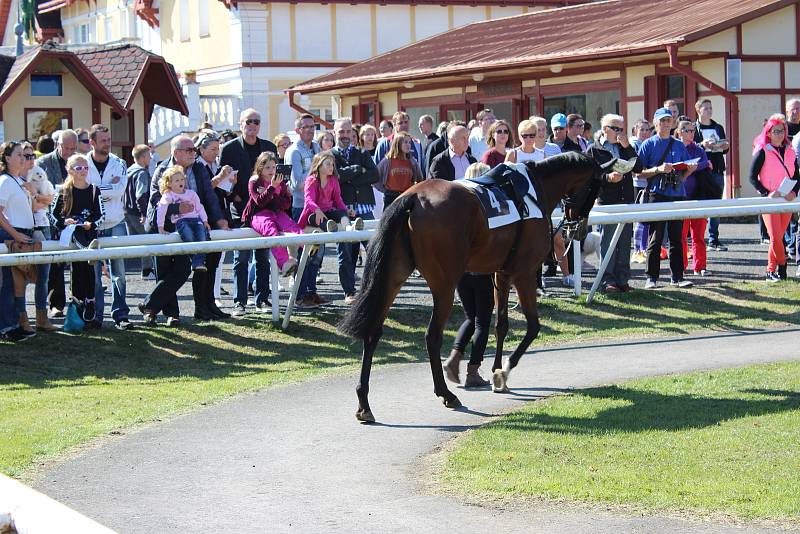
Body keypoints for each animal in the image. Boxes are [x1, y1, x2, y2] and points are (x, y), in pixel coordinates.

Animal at [340, 151, 612, 422]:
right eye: (597, 188)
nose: (580, 230)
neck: (535, 189)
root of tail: (412, 198)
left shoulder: (501, 274)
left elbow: (501, 325)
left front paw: (496, 372)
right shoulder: (523, 273)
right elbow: (534, 326)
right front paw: (504, 372)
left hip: (394, 274)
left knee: (373, 332)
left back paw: (364, 403)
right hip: (444, 283)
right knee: (432, 336)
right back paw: (446, 394)